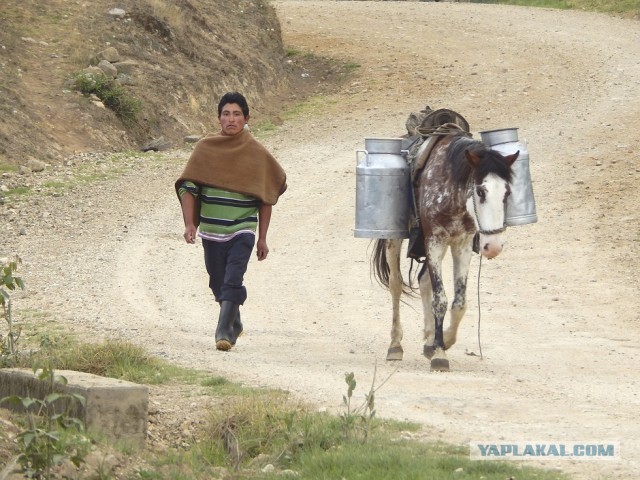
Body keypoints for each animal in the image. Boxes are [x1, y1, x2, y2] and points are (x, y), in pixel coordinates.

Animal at [372, 129, 516, 374]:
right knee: (396, 285)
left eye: (507, 192)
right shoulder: (435, 242)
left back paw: (430, 339)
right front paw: (440, 355)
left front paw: (443, 341)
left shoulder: (462, 245)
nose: (494, 246)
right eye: (480, 191)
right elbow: (440, 300)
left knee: (423, 281)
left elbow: (459, 302)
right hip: (395, 239)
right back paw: (395, 345)